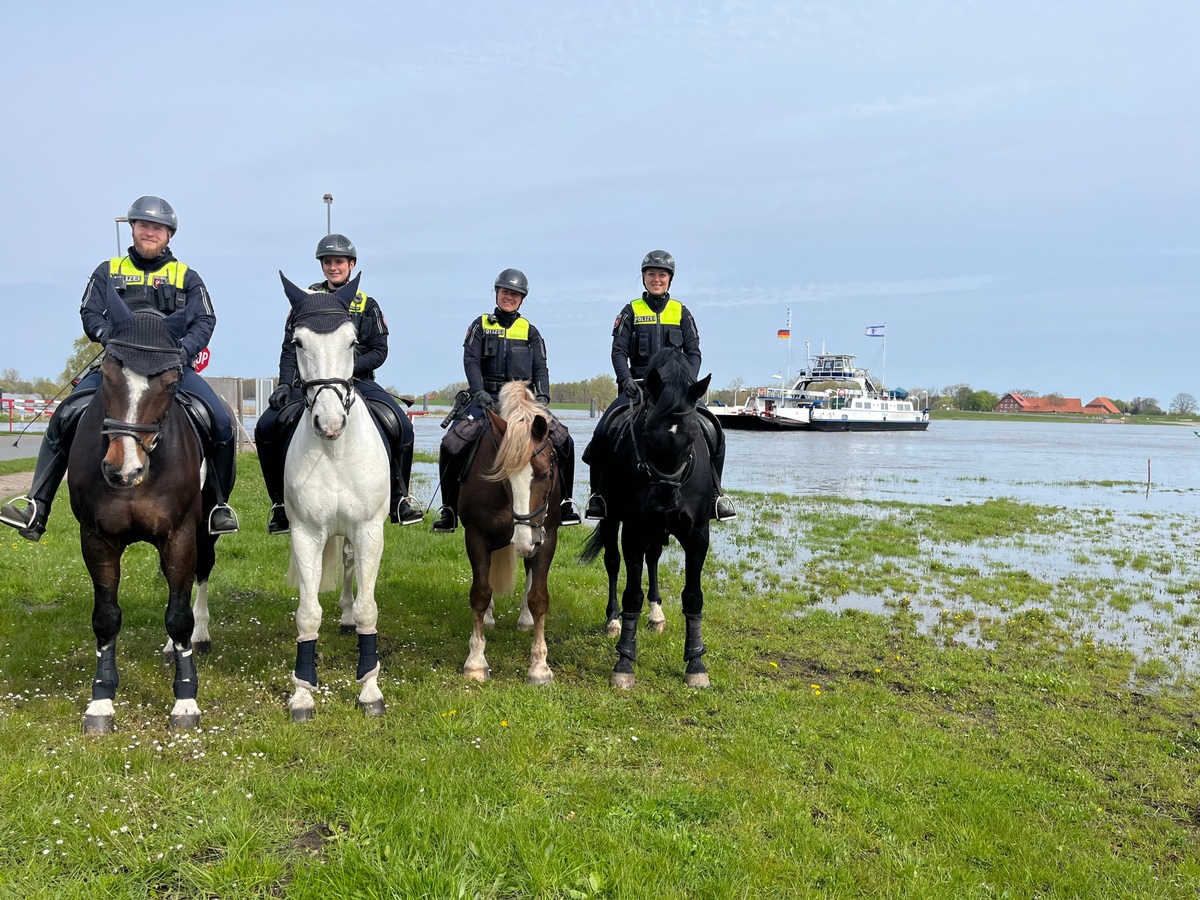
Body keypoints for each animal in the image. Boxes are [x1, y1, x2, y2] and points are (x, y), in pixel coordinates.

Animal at [68, 282, 220, 734]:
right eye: (110, 372)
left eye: (170, 380)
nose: (124, 470)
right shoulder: (96, 539)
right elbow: (106, 617)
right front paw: (101, 700)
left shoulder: (181, 536)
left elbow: (179, 614)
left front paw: (185, 700)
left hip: (204, 532)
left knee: (196, 580)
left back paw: (196, 638)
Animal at [460, 381, 564, 681]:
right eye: (504, 475)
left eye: (545, 475)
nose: (522, 542)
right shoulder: (475, 536)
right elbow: (480, 593)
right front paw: (475, 662)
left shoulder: (547, 536)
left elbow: (539, 597)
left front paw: (539, 666)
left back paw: (525, 619)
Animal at [580, 348, 710, 691]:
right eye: (648, 432)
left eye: (692, 436)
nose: (664, 499)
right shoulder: (634, 532)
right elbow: (631, 595)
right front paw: (624, 662)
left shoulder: (697, 535)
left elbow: (693, 597)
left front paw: (696, 663)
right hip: (613, 520)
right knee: (613, 563)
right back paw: (612, 620)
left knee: (653, 560)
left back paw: (656, 615)